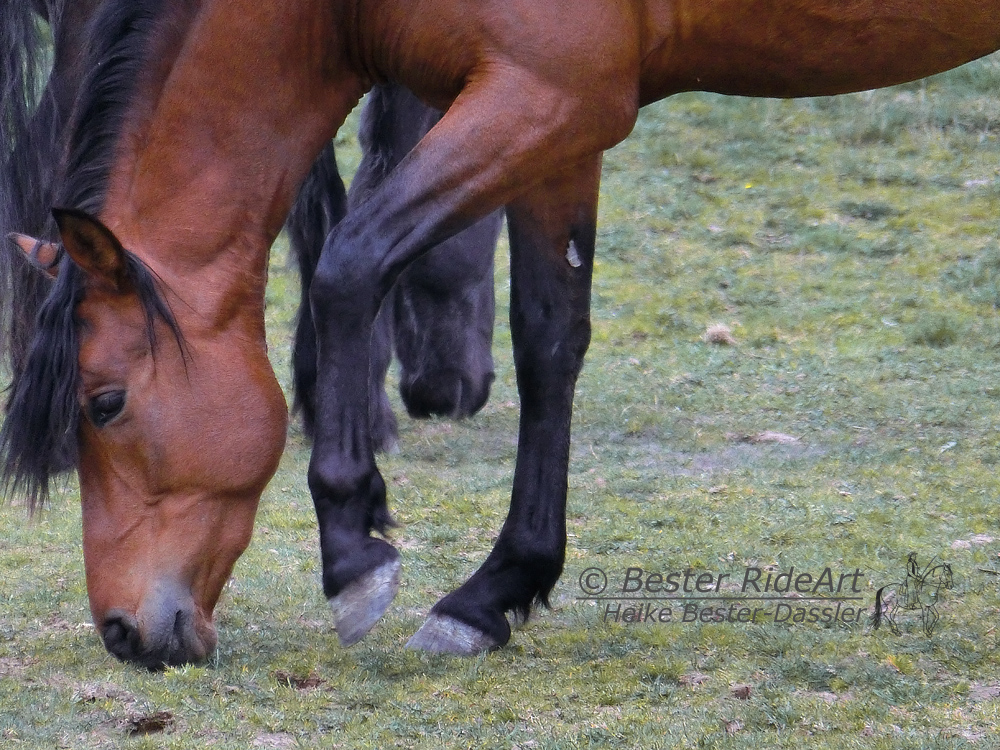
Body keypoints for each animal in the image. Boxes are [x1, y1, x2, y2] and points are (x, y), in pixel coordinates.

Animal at [5, 0, 1000, 668]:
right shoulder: (557, 122)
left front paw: (354, 550)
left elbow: (348, 268)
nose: (121, 632)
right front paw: (497, 591)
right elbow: (549, 341)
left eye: (104, 404)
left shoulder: (542, 96)